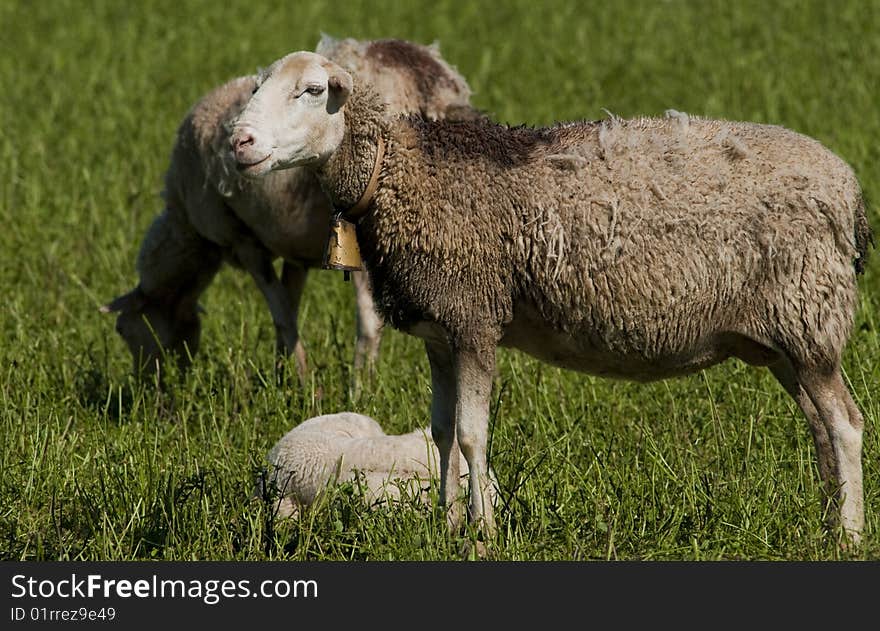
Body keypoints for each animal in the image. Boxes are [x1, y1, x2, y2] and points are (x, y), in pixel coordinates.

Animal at [101, 37, 474, 382]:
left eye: (123, 330)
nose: (149, 385)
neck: (188, 232)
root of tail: (425, 83)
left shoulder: (241, 239)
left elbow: (280, 312)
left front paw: (301, 383)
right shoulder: (295, 252)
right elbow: (290, 305)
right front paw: (284, 374)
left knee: (368, 323)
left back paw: (361, 388)